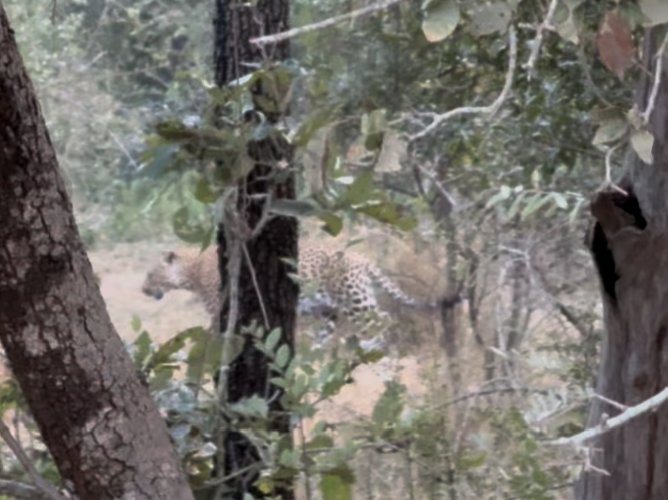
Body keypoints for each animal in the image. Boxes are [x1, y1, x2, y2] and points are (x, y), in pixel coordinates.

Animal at [141, 242, 430, 342]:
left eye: (150, 275)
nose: (143, 290)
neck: (192, 270)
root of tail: (362, 257)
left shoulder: (219, 311)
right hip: (330, 308)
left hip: (353, 299)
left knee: (383, 320)